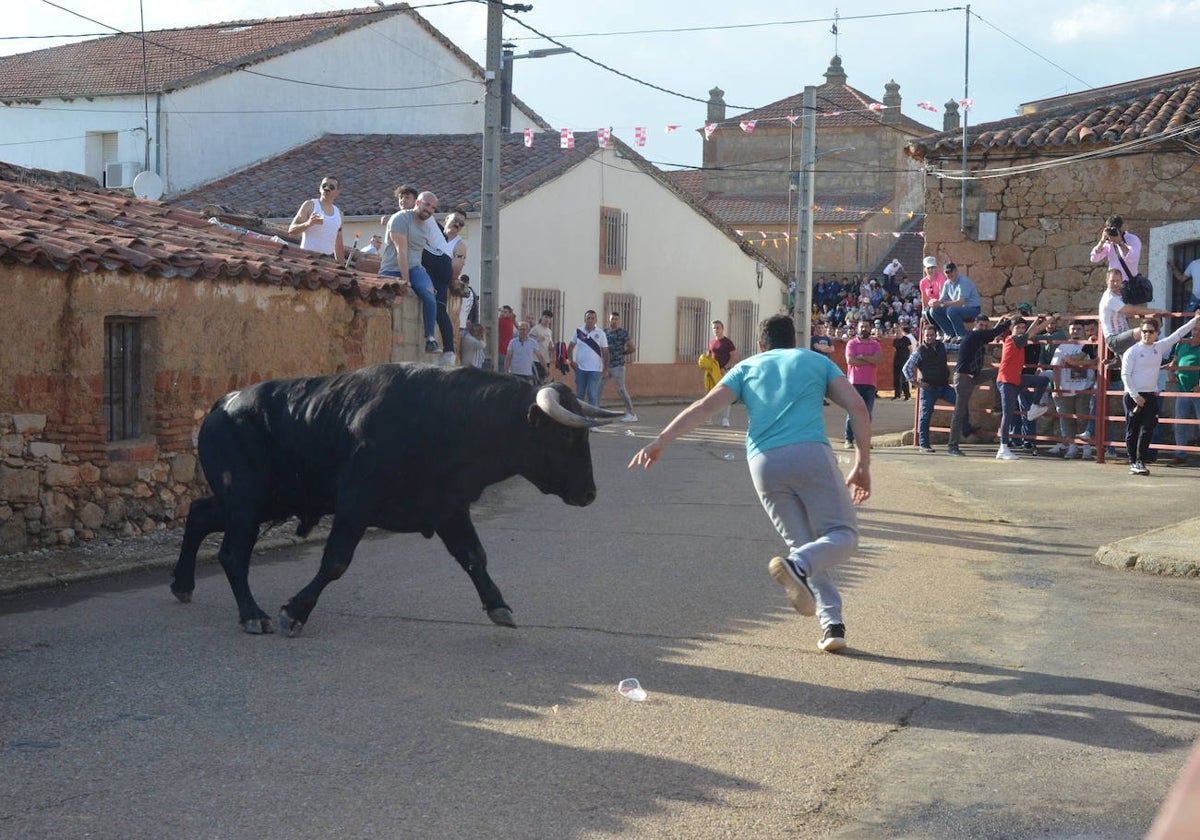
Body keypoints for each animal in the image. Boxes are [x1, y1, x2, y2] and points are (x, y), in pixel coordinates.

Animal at [171, 364, 619, 633]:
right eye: (566, 437)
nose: (590, 493)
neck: (447, 419)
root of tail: (225, 402)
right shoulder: (355, 503)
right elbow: (335, 562)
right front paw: (294, 611)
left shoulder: (449, 508)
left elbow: (475, 557)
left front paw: (498, 606)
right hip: (246, 499)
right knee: (232, 553)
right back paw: (252, 615)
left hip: (266, 501)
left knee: (198, 515)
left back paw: (182, 584)